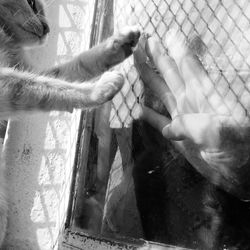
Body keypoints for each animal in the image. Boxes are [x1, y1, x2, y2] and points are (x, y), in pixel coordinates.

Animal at [0, 0, 141, 245]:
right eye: (31, 3)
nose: (48, 28)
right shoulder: (6, 82)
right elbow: (43, 86)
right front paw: (97, 90)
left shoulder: (29, 72)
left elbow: (66, 72)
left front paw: (115, 47)